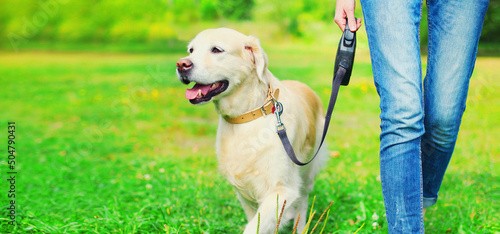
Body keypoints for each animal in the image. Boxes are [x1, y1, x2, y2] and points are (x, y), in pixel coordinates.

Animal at [176, 28, 328, 233]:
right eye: (191, 50)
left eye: (216, 49)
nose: (181, 64)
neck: (247, 115)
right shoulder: (244, 192)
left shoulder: (282, 189)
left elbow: (254, 227)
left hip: (308, 170)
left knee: (302, 203)